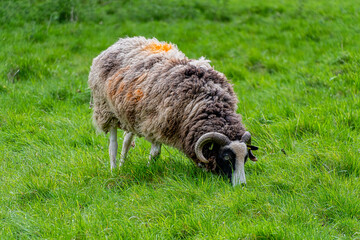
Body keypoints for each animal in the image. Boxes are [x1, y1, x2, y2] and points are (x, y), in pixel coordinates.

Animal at [88, 36, 258, 186]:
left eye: (245, 158)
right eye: (227, 158)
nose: (241, 185)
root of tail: (121, 41)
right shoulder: (156, 122)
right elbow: (155, 152)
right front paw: (149, 170)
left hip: (130, 114)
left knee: (127, 141)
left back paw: (122, 165)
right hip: (106, 111)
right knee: (113, 145)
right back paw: (114, 170)